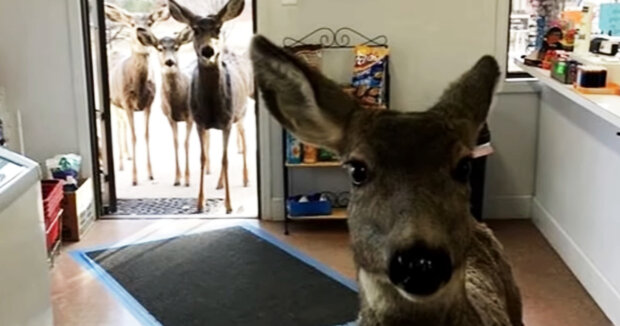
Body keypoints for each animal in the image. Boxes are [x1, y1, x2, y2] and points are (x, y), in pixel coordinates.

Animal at [104, 1, 168, 186]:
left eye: (150, 22)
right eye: (132, 24)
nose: (141, 31)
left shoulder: (149, 103)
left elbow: (146, 135)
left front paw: (150, 174)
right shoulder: (126, 102)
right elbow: (134, 136)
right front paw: (134, 178)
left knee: (122, 123)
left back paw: (128, 156)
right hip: (112, 101)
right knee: (118, 125)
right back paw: (120, 163)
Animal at [167, 0, 252, 214]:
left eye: (218, 28)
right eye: (195, 30)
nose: (208, 51)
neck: (213, 105)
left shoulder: (228, 120)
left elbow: (225, 159)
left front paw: (229, 205)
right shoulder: (199, 121)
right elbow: (203, 158)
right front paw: (200, 203)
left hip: (242, 113)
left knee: (243, 140)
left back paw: (246, 179)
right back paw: (220, 184)